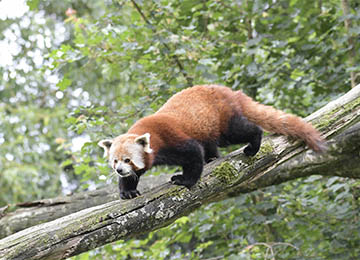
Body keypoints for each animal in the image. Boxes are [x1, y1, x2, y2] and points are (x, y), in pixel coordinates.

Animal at [99, 85, 326, 199]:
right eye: (115, 161)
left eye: (128, 160)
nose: (119, 170)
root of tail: (230, 92)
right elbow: (134, 177)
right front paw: (128, 190)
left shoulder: (171, 138)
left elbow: (193, 155)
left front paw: (185, 180)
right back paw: (212, 158)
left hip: (223, 121)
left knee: (243, 131)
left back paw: (253, 145)